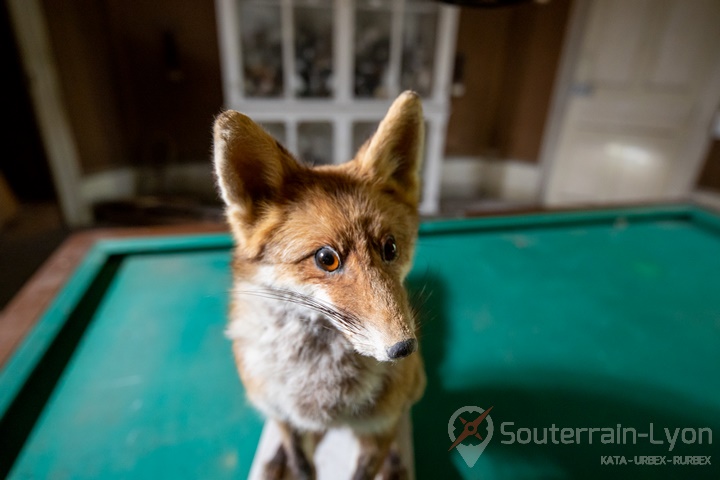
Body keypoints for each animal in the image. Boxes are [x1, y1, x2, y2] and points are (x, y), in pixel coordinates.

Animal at [214, 92, 428, 478]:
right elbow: (301, 464)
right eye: (326, 259)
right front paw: (288, 460)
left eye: (390, 248)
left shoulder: (377, 429)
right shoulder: (287, 419)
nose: (403, 348)